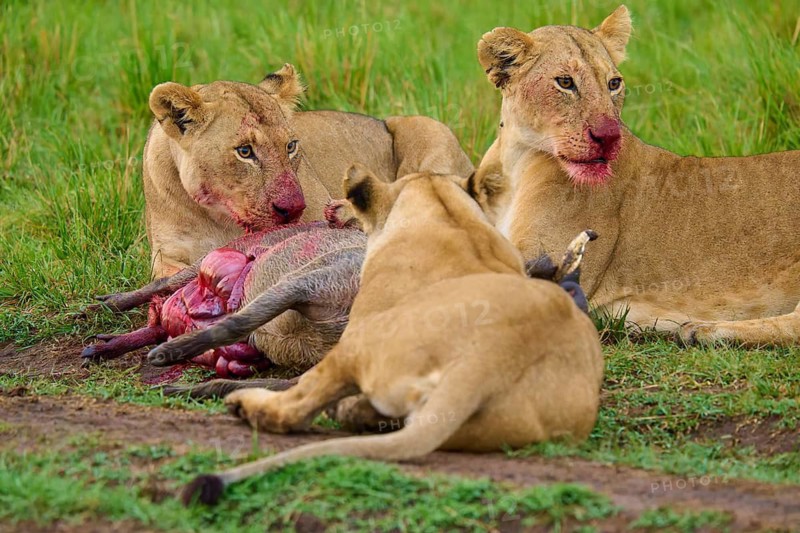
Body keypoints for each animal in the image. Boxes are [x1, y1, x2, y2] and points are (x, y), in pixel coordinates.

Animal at [145, 63, 473, 278]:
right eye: (245, 151)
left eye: (290, 146)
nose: (292, 209)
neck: (219, 217)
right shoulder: (166, 255)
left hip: (428, 129)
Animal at [476, 5, 800, 346]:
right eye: (565, 82)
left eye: (613, 83)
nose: (608, 136)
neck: (517, 159)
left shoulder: (552, 266)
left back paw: (700, 330)